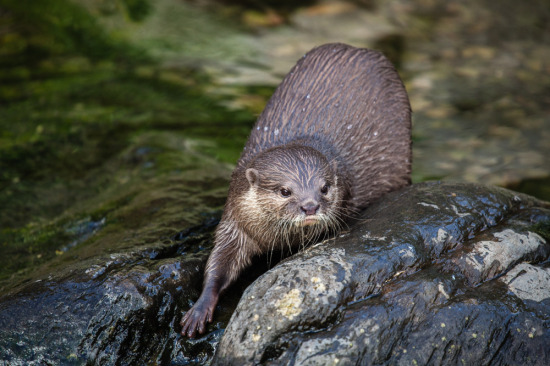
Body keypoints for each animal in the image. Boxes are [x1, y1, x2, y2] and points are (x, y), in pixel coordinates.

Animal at [179, 43, 412, 338]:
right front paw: (199, 309)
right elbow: (219, 264)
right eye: (285, 191)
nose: (310, 205)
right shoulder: (235, 220)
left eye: (324, 187)